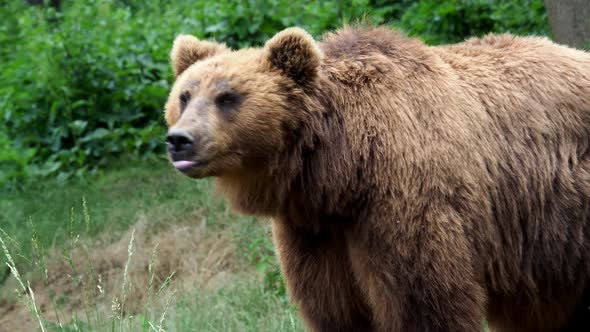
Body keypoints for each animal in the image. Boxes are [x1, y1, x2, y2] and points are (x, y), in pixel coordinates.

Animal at [162, 26, 590, 332]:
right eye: (185, 95)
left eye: (228, 97)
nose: (179, 140)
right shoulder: (314, 232)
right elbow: (335, 309)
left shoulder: (404, 204)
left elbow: (425, 302)